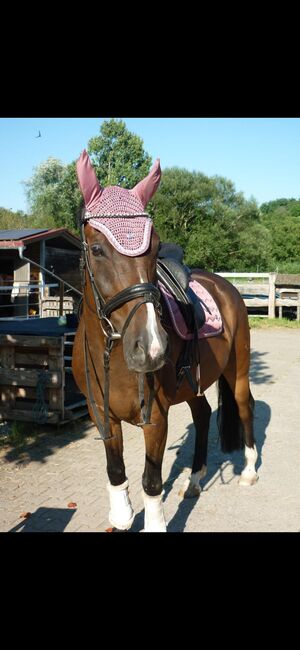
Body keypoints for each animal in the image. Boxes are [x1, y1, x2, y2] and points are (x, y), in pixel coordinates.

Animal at [71, 152, 256, 532]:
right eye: (96, 249)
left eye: (154, 248)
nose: (151, 348)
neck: (112, 355)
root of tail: (226, 285)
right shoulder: (103, 415)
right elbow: (116, 471)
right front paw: (122, 515)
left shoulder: (155, 418)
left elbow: (151, 481)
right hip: (194, 383)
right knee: (203, 414)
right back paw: (195, 479)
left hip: (239, 371)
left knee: (245, 407)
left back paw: (248, 470)